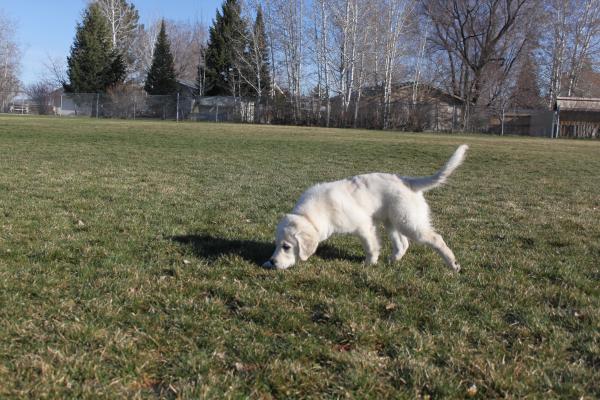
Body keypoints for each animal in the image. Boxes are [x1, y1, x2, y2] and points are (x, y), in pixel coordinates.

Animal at [263, 145, 468, 271]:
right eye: (277, 245)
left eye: (287, 247)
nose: (273, 261)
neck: (314, 214)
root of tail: (408, 181)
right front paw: (266, 263)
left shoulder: (364, 226)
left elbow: (371, 246)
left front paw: (369, 264)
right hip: (392, 221)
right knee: (403, 244)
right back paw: (393, 260)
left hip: (409, 222)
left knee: (435, 238)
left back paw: (453, 264)